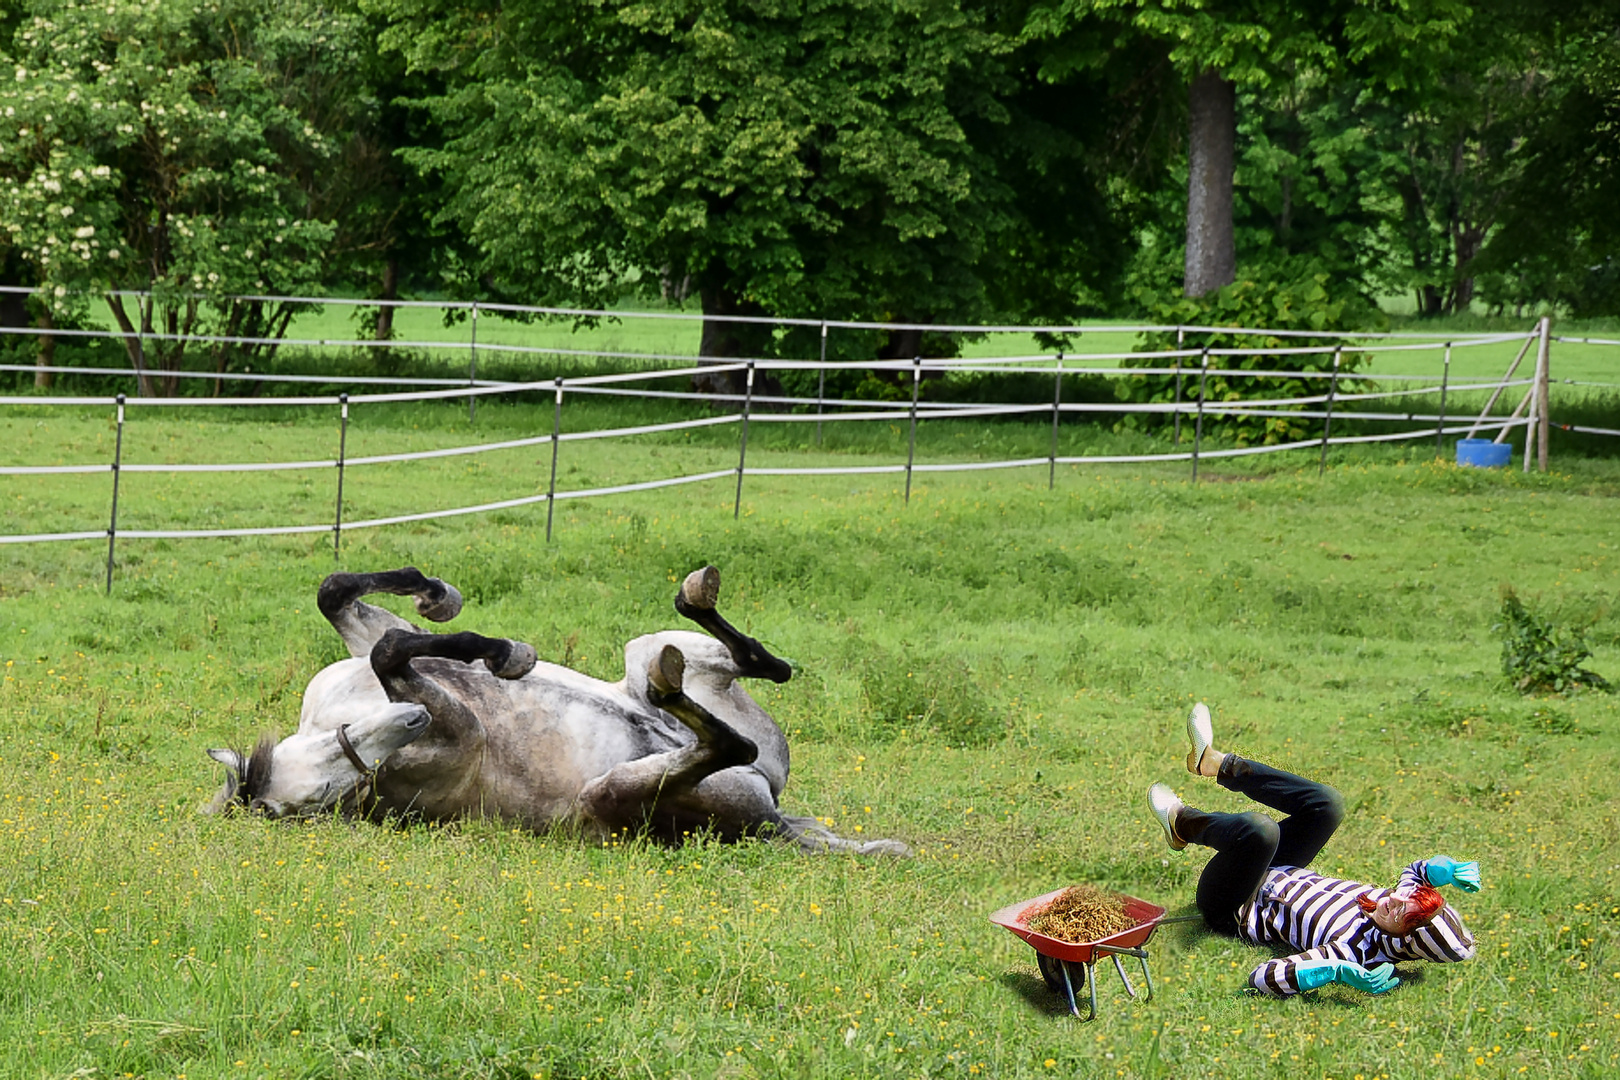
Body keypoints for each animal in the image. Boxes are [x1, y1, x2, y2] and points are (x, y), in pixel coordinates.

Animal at [205, 566, 900, 854]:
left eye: (335, 748)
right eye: (325, 796)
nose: (410, 722)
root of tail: (774, 817)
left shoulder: (369, 654)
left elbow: (350, 603)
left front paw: (442, 600)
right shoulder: (456, 727)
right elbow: (390, 649)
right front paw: (506, 653)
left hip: (647, 651)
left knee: (755, 662)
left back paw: (691, 611)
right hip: (612, 795)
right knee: (731, 743)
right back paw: (670, 688)